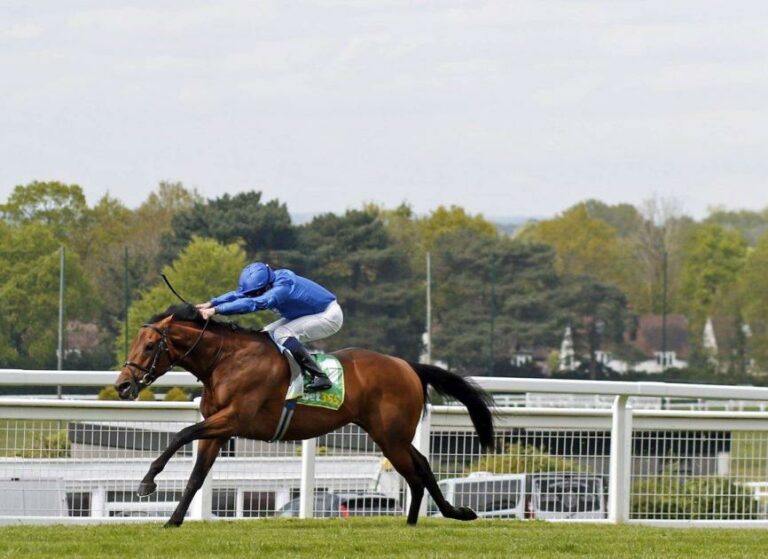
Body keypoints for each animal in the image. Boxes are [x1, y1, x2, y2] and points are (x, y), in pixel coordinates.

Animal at [114, 303, 495, 527]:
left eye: (150, 345)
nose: (122, 385)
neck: (225, 361)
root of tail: (407, 366)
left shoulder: (234, 419)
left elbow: (180, 435)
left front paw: (147, 482)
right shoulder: (219, 430)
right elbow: (196, 477)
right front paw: (173, 521)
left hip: (391, 436)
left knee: (417, 471)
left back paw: (438, 516)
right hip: (390, 435)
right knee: (422, 467)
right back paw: (429, 518)